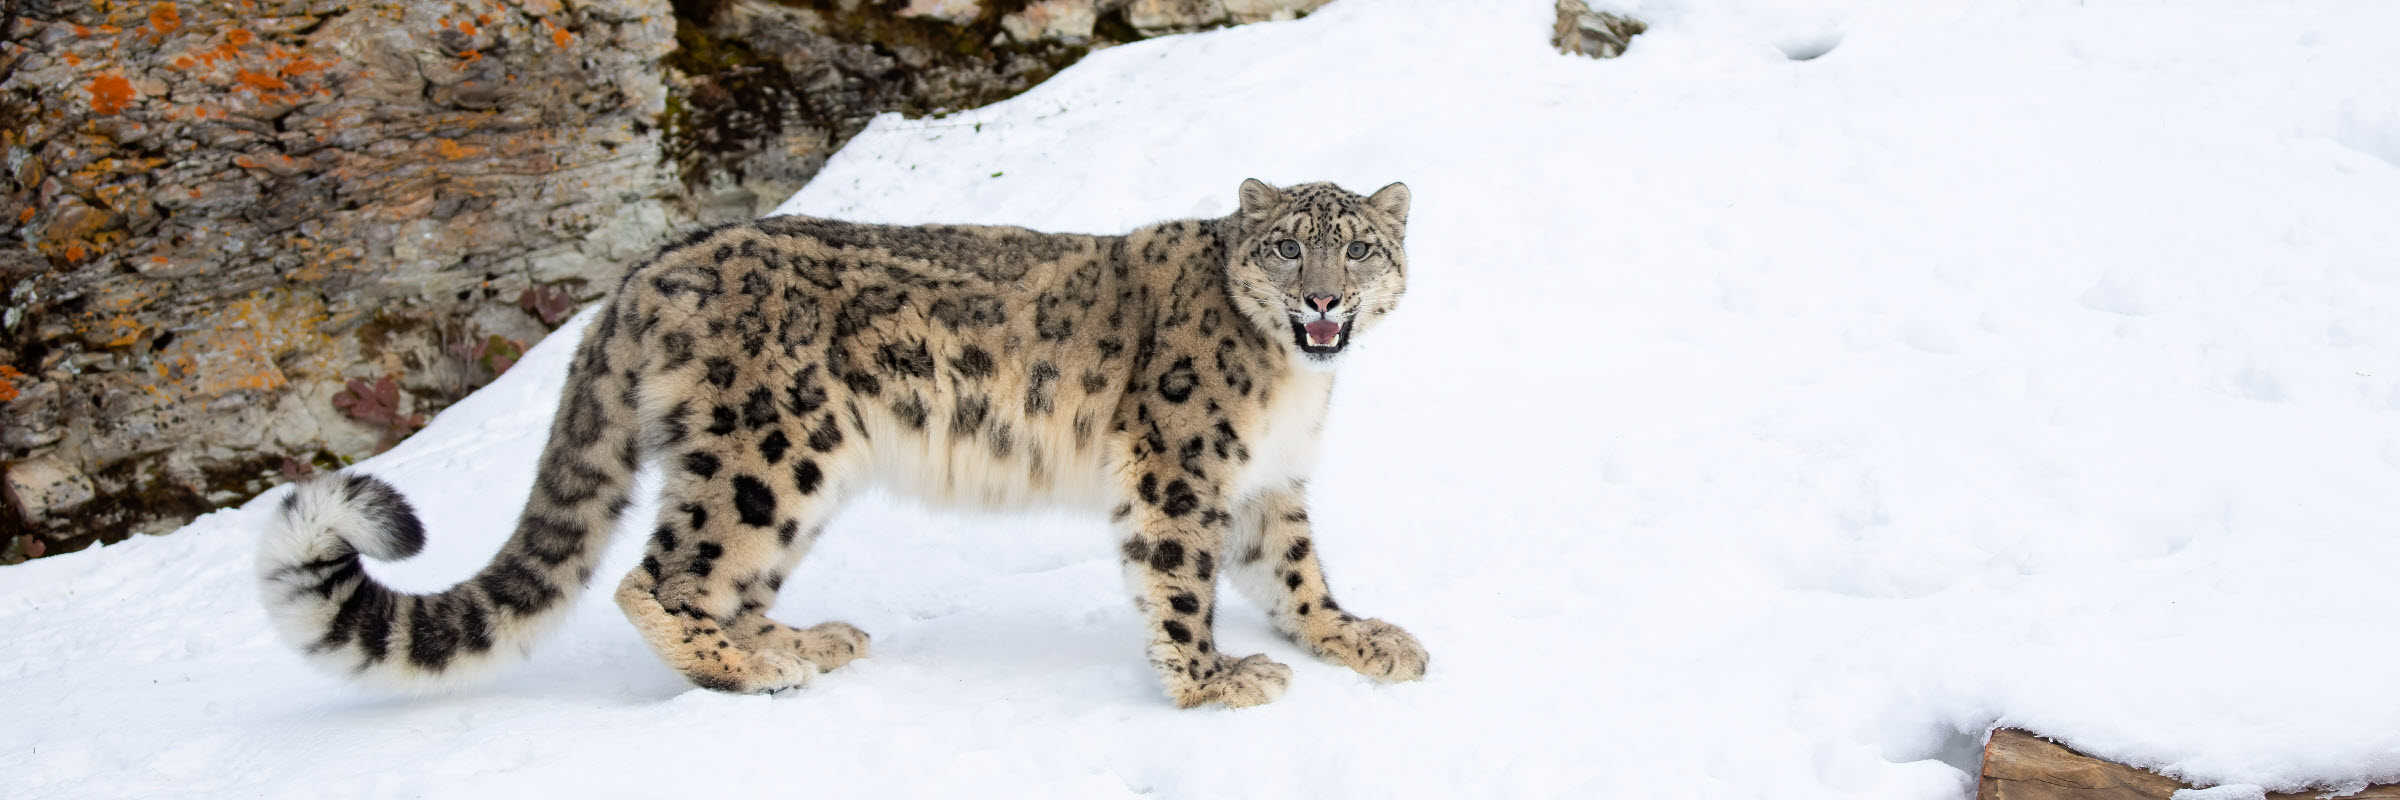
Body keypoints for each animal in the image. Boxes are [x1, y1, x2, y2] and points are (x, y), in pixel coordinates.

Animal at [256, 179, 1427, 708]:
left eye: (1359, 248)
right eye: (1287, 247)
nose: (1324, 298)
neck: (1294, 384)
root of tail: (644, 273)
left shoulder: (1266, 482)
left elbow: (1295, 571)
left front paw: (1363, 639)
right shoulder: (1182, 464)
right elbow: (1180, 574)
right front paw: (1209, 679)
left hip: (787, 479)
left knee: (726, 579)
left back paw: (799, 642)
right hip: (768, 453)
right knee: (658, 577)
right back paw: (756, 665)